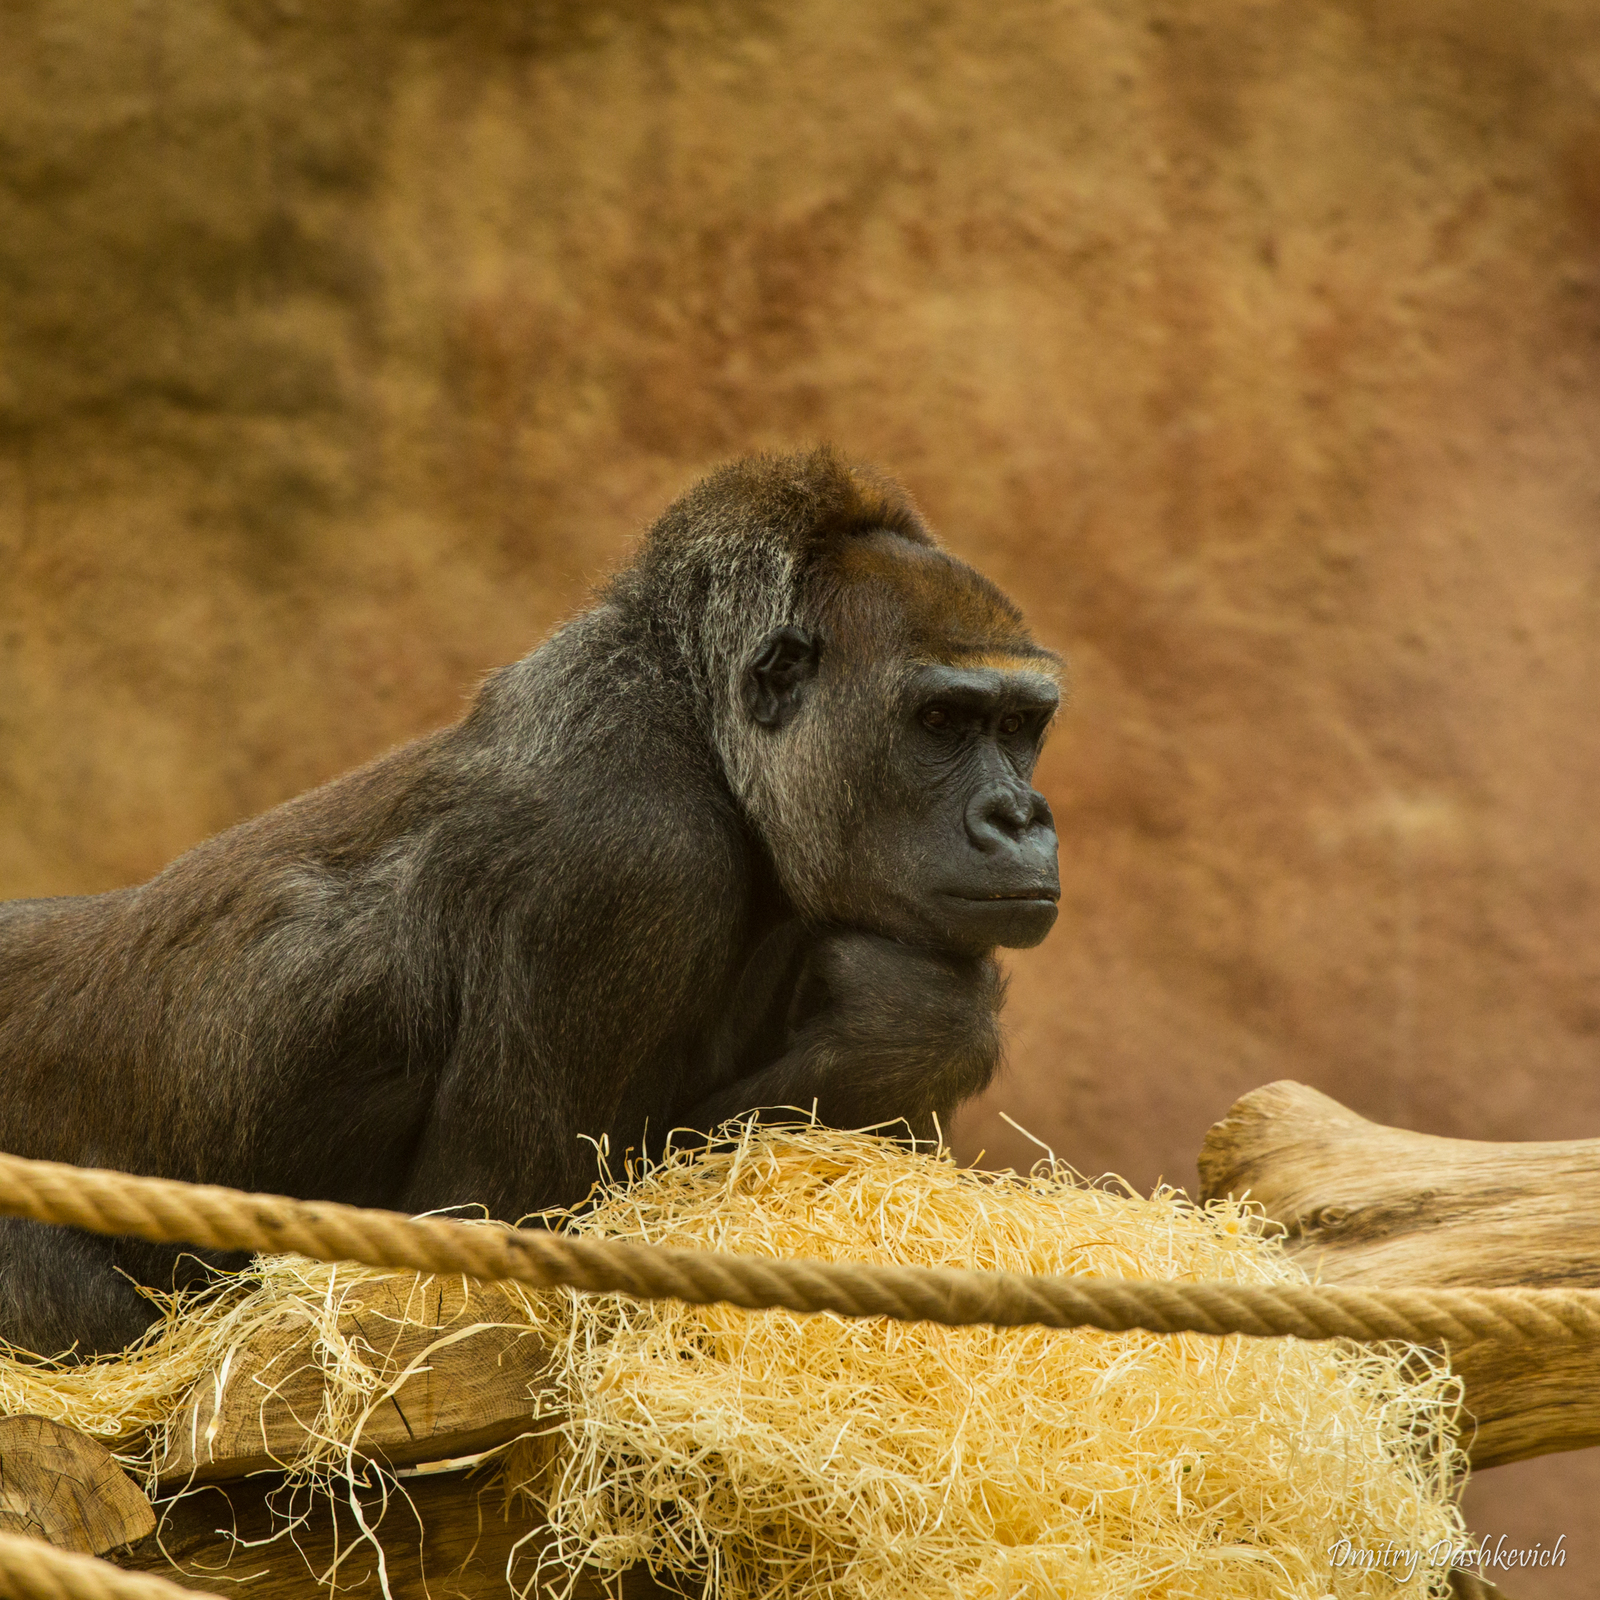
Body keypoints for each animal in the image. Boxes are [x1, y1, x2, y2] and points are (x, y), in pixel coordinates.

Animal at [0, 448, 1062, 1350]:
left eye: (1023, 726)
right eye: (941, 721)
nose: (1019, 816)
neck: (701, 719)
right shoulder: (621, 857)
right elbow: (475, 1246)